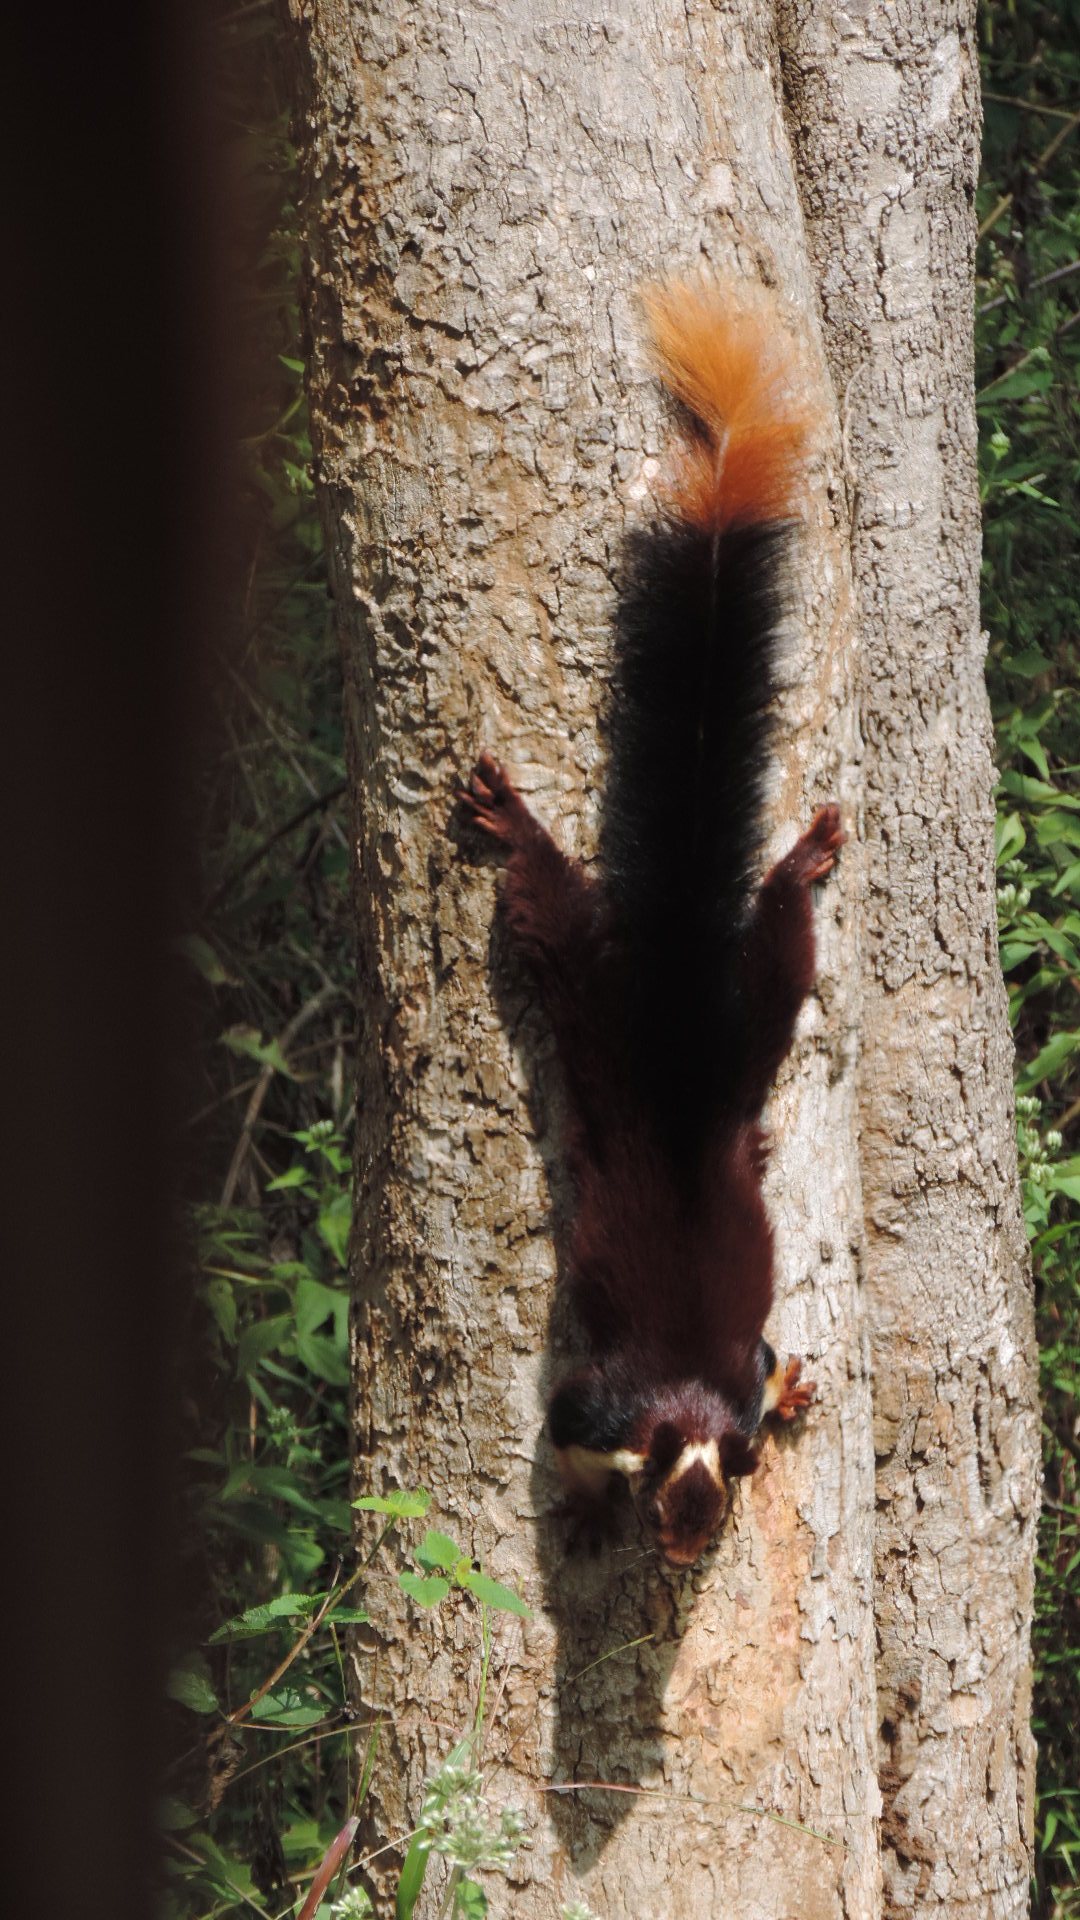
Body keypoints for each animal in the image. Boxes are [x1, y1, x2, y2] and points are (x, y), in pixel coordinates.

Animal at [458, 281, 842, 1568]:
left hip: (739, 1050)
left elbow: (763, 1364)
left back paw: (801, 858)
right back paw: (518, 824)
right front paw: (579, 1508)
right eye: (669, 1497)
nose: (680, 1557)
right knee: (561, 912)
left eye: (713, 1513)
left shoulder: (723, 1379)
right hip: (613, 1011)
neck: (682, 1402)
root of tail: (677, 1028)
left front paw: (791, 1389)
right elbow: (564, 1430)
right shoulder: (607, 1395)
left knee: (779, 945)